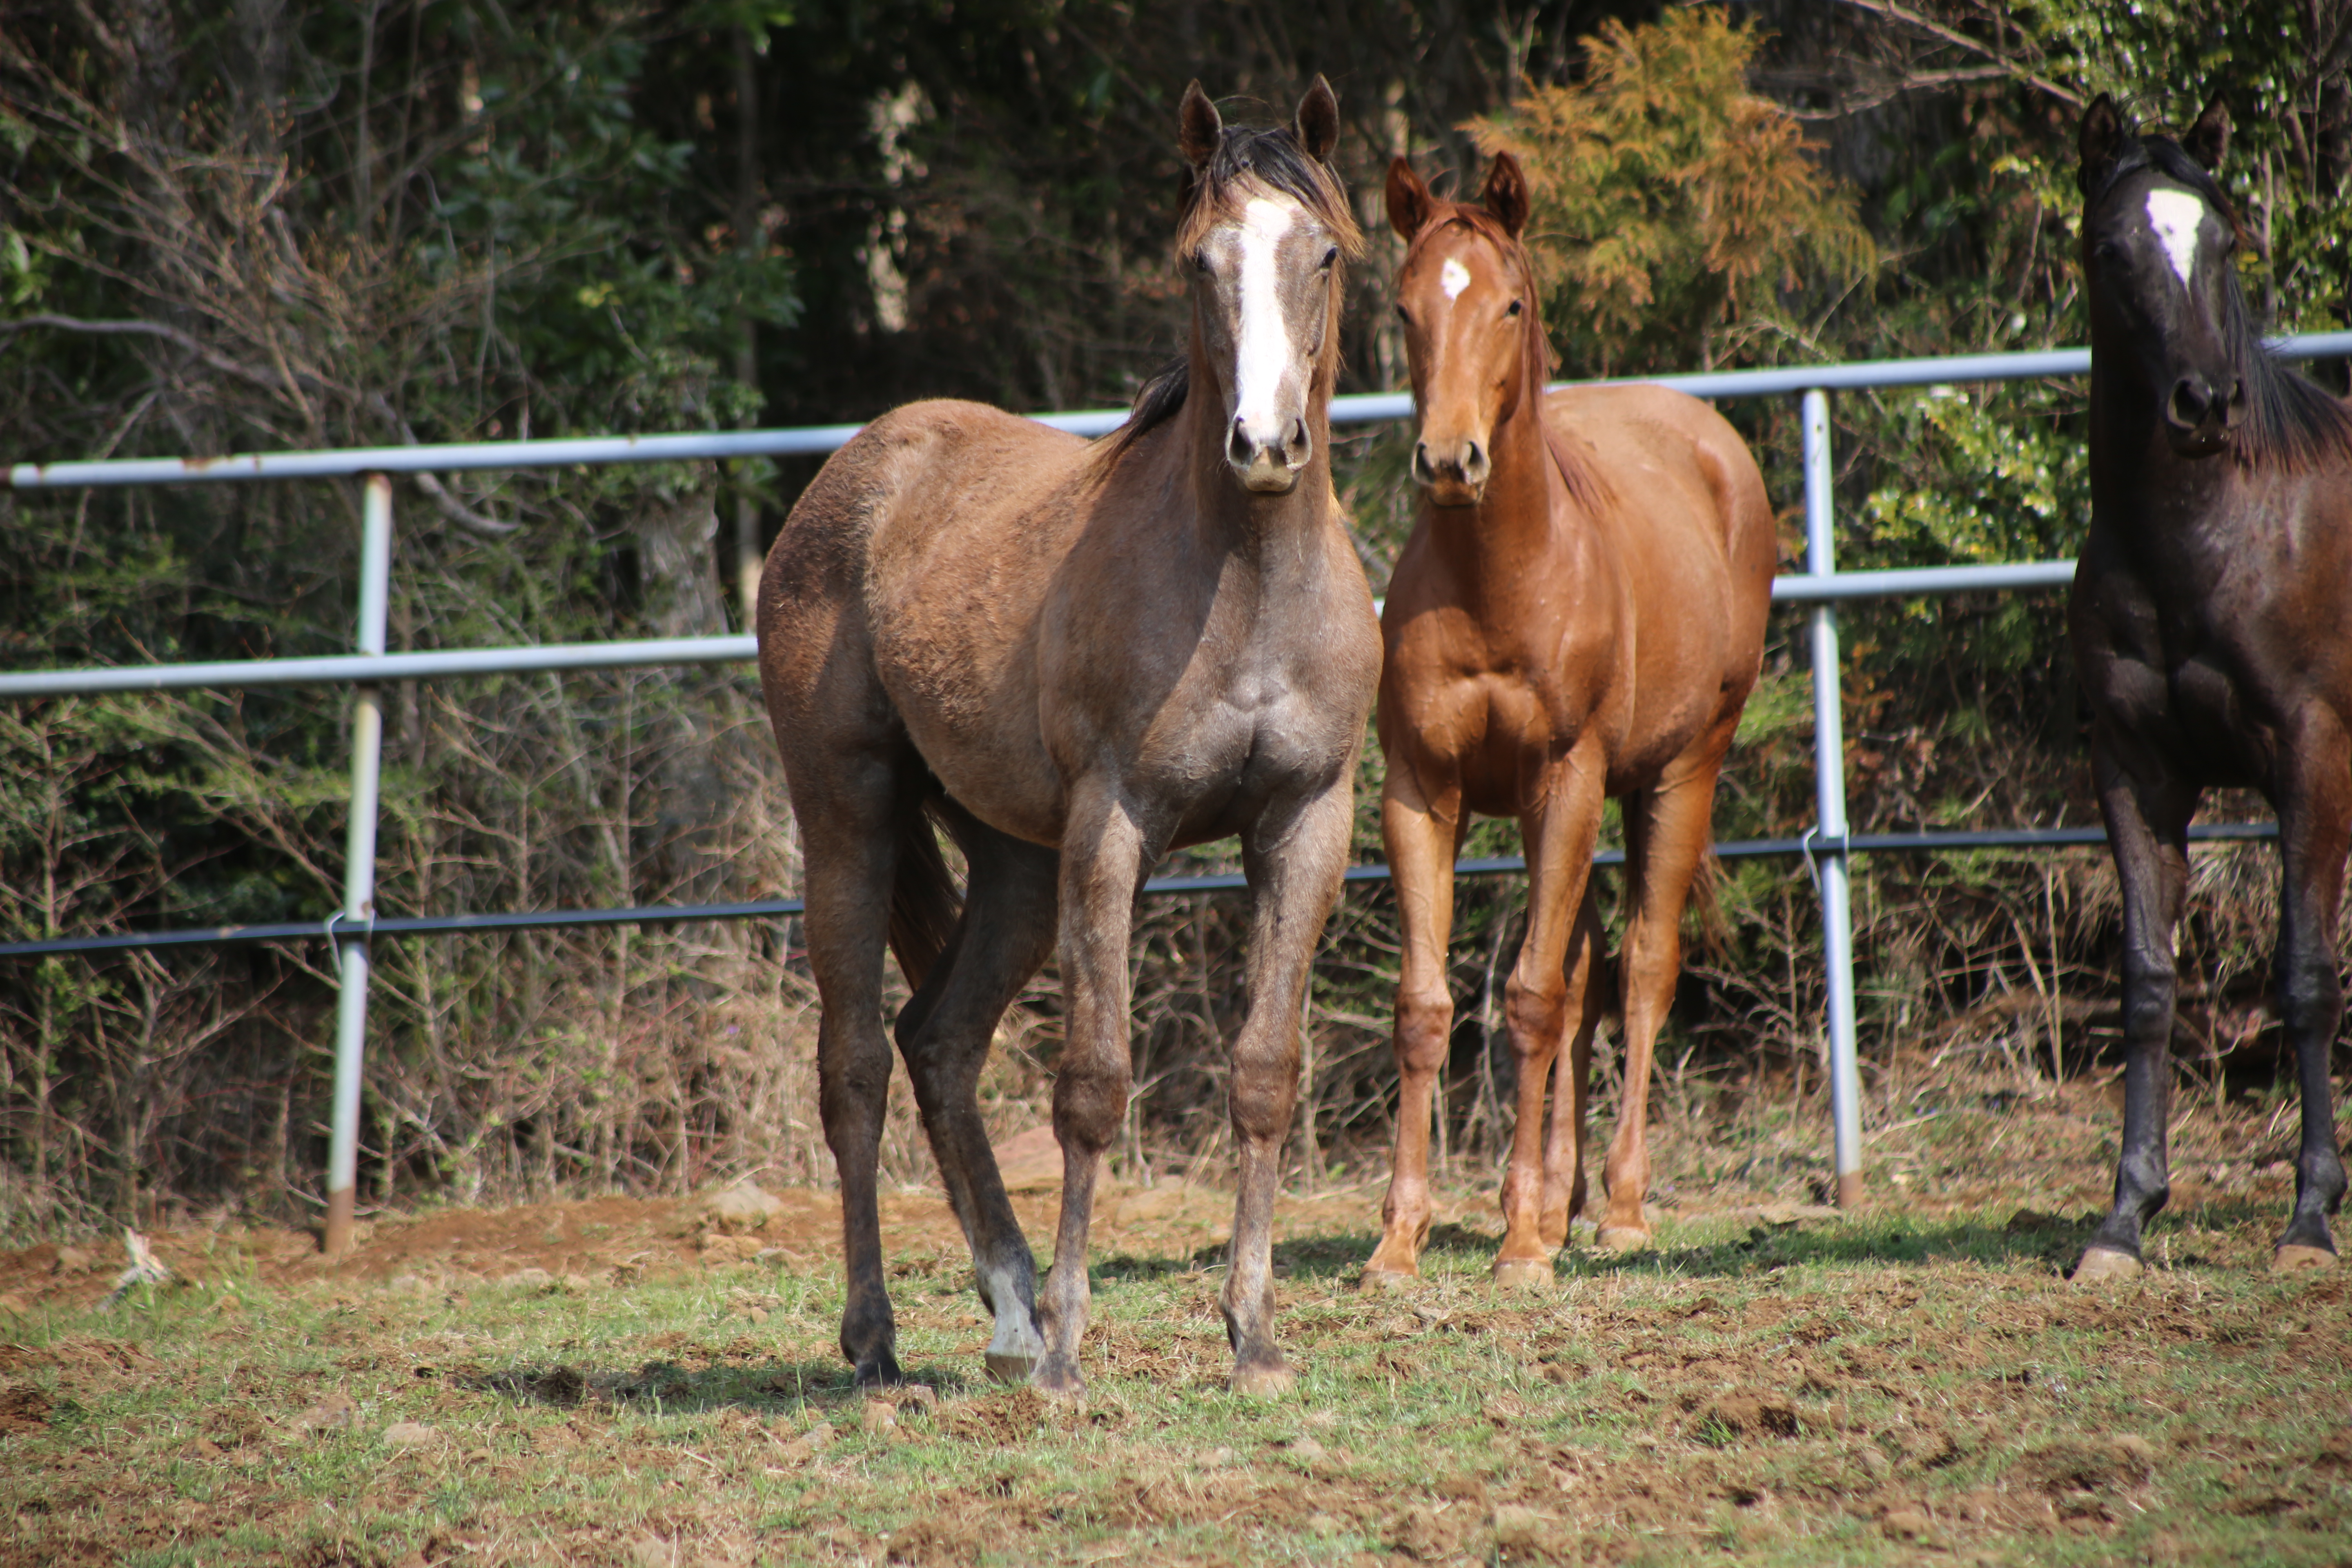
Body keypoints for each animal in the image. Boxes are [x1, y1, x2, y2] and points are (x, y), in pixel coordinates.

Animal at [753, 80, 1383, 1392]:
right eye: (1198, 261)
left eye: (1324, 253)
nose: (1264, 445)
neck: (1244, 587)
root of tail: (853, 473)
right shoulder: (1114, 828)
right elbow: (1093, 1083)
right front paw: (1071, 1355)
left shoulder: (1305, 823)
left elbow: (1265, 1074)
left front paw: (1252, 1337)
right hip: (849, 817)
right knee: (854, 1068)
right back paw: (882, 1343)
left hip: (1012, 864)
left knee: (938, 1044)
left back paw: (1008, 1309)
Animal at [1364, 156, 1768, 1288]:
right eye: (1403, 307)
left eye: (1508, 304)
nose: (1448, 461)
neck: (1501, 579)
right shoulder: (1419, 791)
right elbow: (1427, 1009)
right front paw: (1399, 1241)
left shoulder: (1568, 779)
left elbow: (1534, 1000)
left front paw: (1517, 1250)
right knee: (1590, 976)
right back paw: (1560, 1200)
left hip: (1675, 774)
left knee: (1639, 970)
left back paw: (1617, 1209)